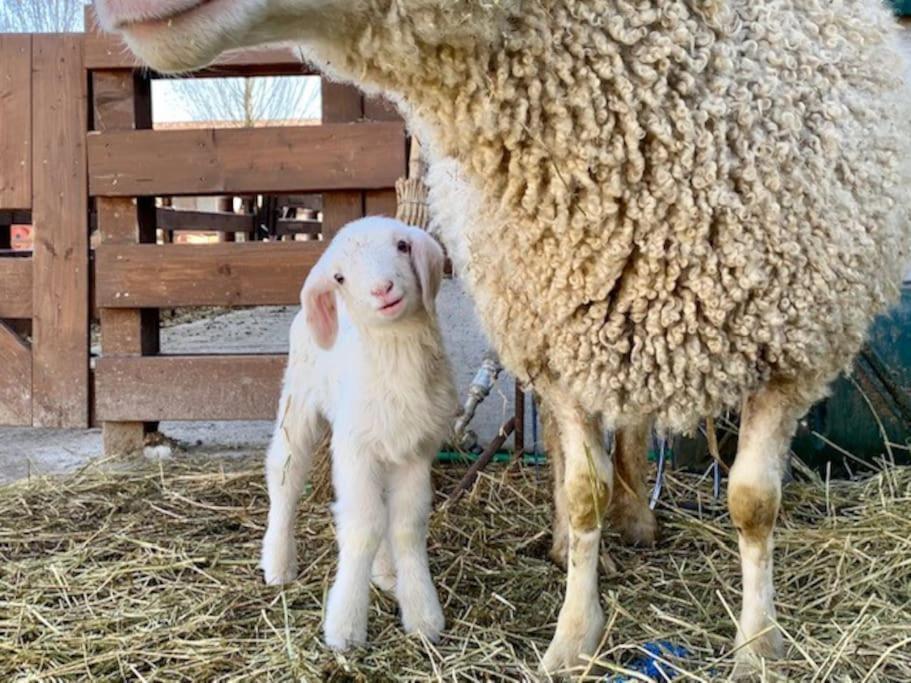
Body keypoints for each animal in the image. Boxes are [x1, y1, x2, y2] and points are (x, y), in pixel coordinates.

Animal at [258, 218, 456, 652]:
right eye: (339, 277)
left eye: (403, 246)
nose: (382, 289)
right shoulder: (353, 449)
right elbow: (363, 526)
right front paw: (345, 628)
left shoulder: (415, 452)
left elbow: (405, 525)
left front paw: (423, 615)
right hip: (298, 403)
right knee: (285, 477)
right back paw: (279, 564)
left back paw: (385, 573)